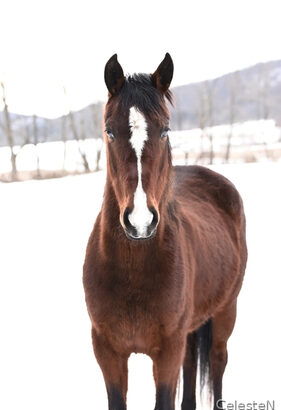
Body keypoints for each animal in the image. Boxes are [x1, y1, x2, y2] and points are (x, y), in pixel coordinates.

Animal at [82, 54, 246, 410]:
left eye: (165, 130)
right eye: (109, 131)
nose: (140, 221)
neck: (133, 272)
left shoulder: (167, 352)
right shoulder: (108, 352)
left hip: (225, 311)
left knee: (217, 362)